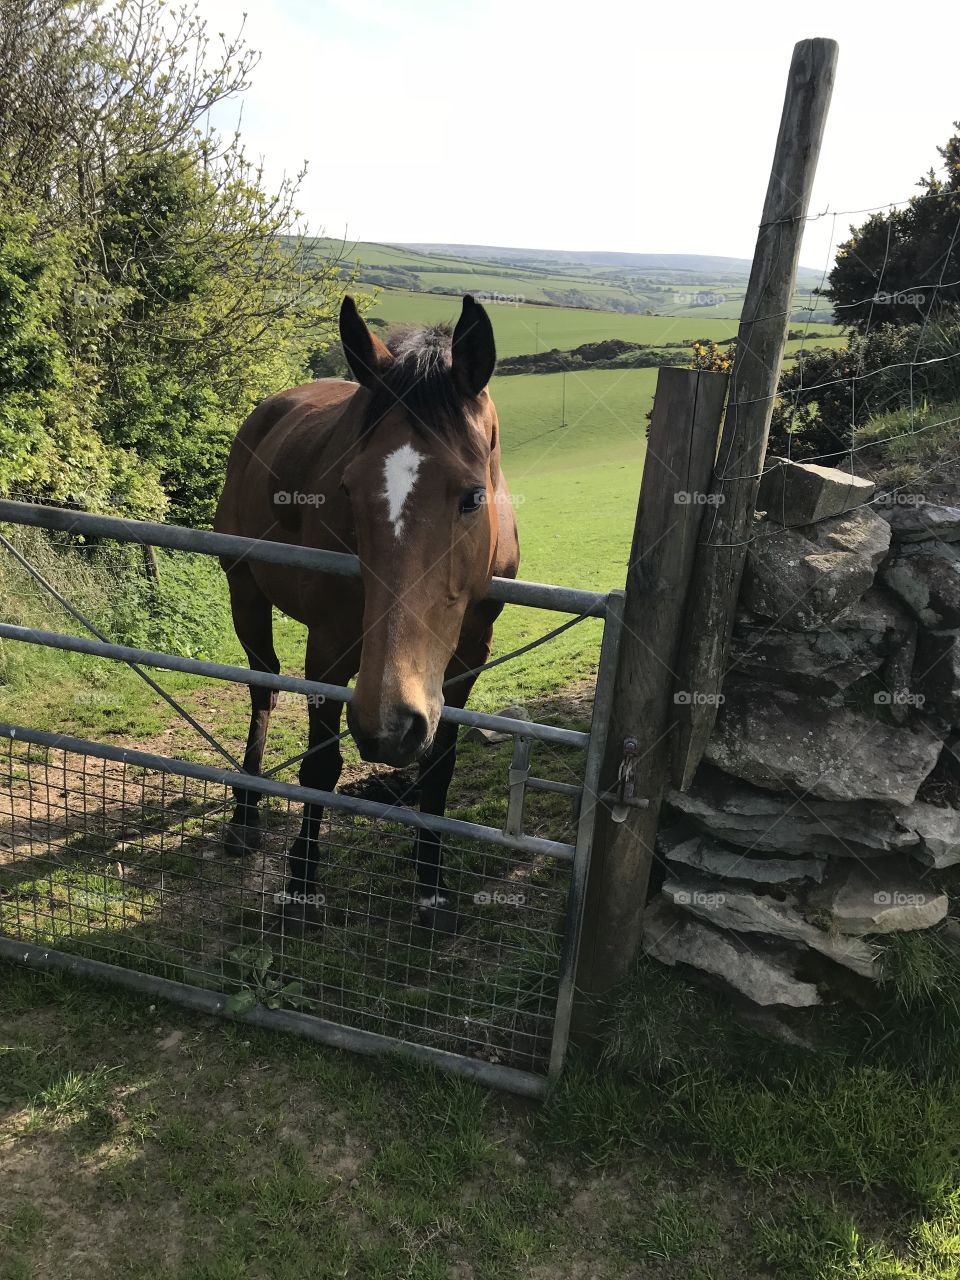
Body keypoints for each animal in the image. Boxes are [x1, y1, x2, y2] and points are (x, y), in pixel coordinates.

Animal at [215, 294, 522, 926]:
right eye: (348, 491)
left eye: (473, 496)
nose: (389, 725)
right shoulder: (330, 646)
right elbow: (320, 767)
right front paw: (302, 885)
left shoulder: (468, 658)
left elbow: (439, 766)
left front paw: (431, 886)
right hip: (245, 593)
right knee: (263, 688)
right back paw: (246, 816)